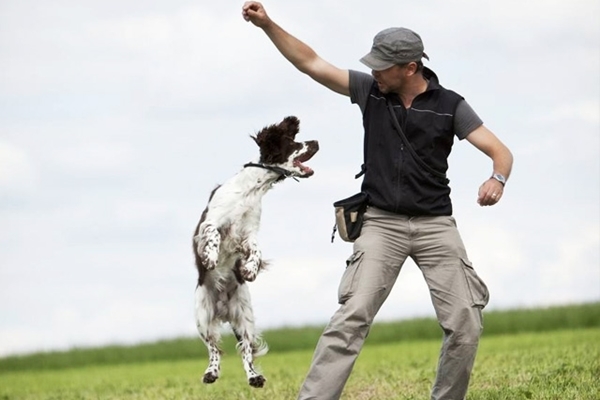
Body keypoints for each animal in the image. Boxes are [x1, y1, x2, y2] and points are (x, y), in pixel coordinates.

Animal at [195, 115, 322, 388]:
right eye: (293, 143)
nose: (317, 141)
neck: (251, 189)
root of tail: (223, 308)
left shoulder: (249, 233)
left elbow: (255, 250)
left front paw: (249, 271)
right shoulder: (210, 222)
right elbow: (212, 236)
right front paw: (210, 258)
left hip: (244, 316)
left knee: (245, 349)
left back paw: (254, 377)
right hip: (202, 314)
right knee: (213, 347)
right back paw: (211, 373)